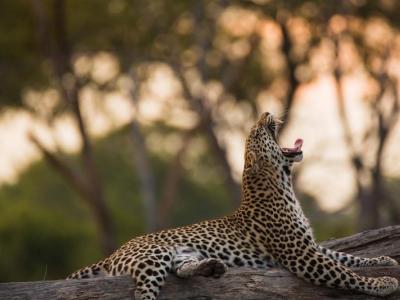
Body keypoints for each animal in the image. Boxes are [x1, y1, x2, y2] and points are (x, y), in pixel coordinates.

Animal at [67, 111, 398, 298]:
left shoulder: (309, 246)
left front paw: (385, 261)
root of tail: (114, 253)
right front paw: (383, 284)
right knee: (143, 293)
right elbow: (346, 273)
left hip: (179, 256)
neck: (284, 183)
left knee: (182, 270)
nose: (266, 111)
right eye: (255, 131)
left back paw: (212, 266)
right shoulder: (300, 255)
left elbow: (348, 257)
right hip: (152, 259)